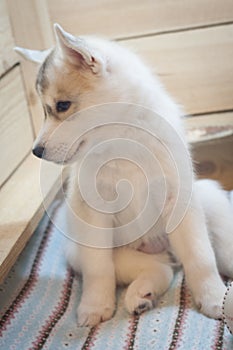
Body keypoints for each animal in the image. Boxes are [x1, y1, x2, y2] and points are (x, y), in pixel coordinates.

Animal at [15, 23, 232, 326]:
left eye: (62, 105)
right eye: (46, 110)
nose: (36, 151)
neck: (121, 140)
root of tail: (165, 250)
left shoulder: (180, 200)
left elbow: (201, 257)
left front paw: (213, 297)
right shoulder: (92, 217)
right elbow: (98, 269)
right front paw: (95, 305)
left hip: (211, 203)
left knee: (210, 254)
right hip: (84, 252)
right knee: (161, 269)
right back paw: (142, 294)